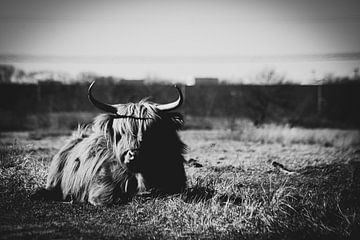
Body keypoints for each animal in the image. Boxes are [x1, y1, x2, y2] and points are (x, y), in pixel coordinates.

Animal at [33, 82, 188, 206]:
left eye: (151, 130)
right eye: (121, 131)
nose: (133, 155)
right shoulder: (100, 188)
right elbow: (112, 197)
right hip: (54, 181)